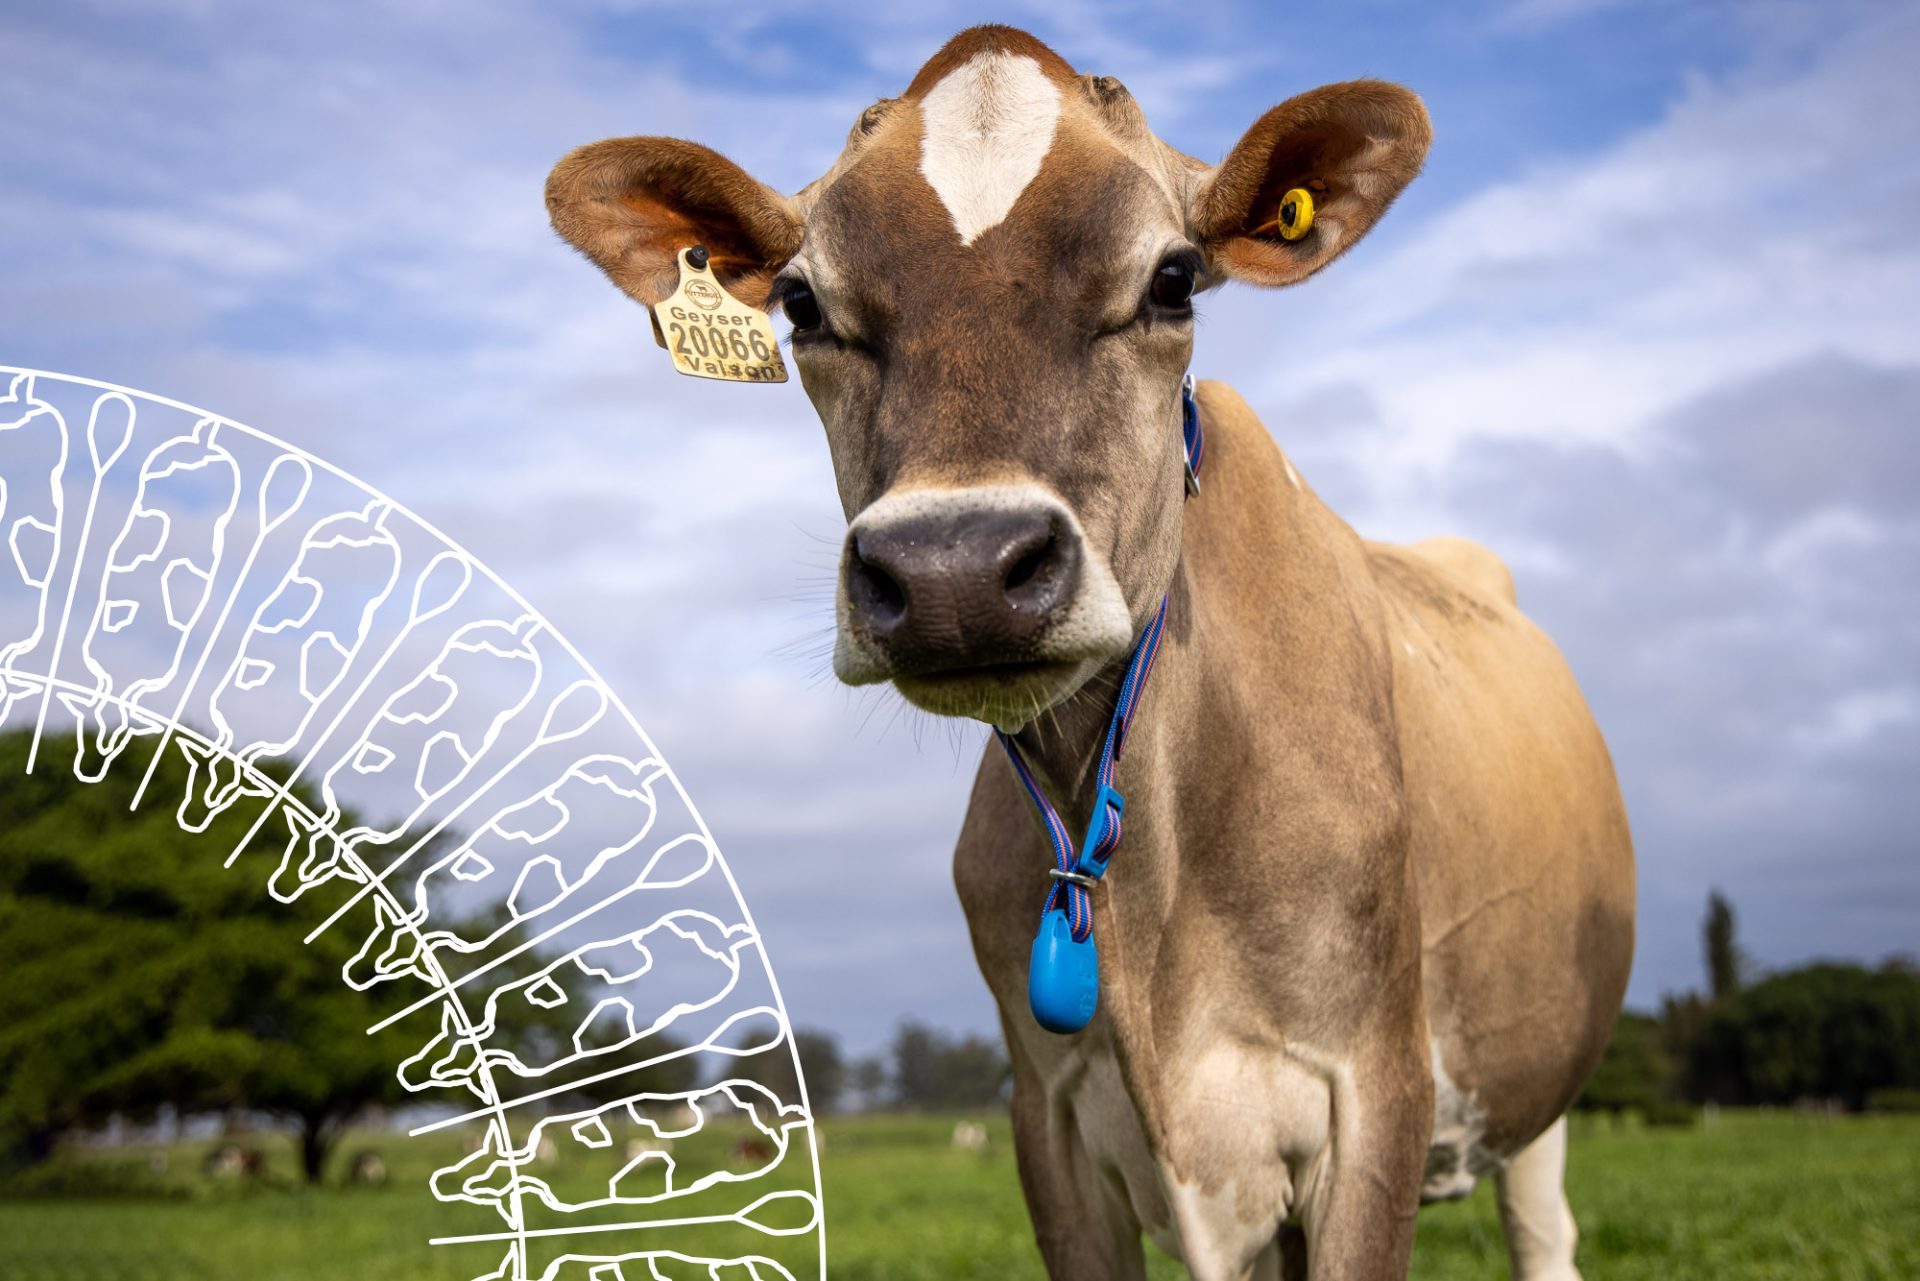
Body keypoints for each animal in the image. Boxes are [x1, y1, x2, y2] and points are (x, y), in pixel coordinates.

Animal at [546, 25, 1634, 1281]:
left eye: (1173, 279)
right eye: (803, 303)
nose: (956, 569)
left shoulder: (1376, 1094)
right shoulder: (1050, 1124)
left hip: (1535, 1097)